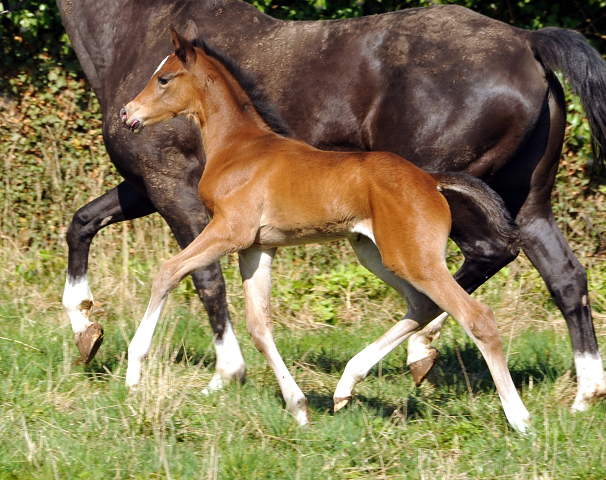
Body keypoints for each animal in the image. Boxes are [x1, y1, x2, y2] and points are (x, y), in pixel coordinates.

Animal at [122, 25, 532, 432]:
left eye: (163, 78)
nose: (127, 113)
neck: (239, 148)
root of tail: (431, 181)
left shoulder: (229, 230)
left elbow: (168, 272)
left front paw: (134, 370)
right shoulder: (256, 247)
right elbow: (259, 327)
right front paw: (299, 407)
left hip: (415, 258)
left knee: (476, 316)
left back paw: (519, 418)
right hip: (374, 253)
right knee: (422, 304)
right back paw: (346, 386)